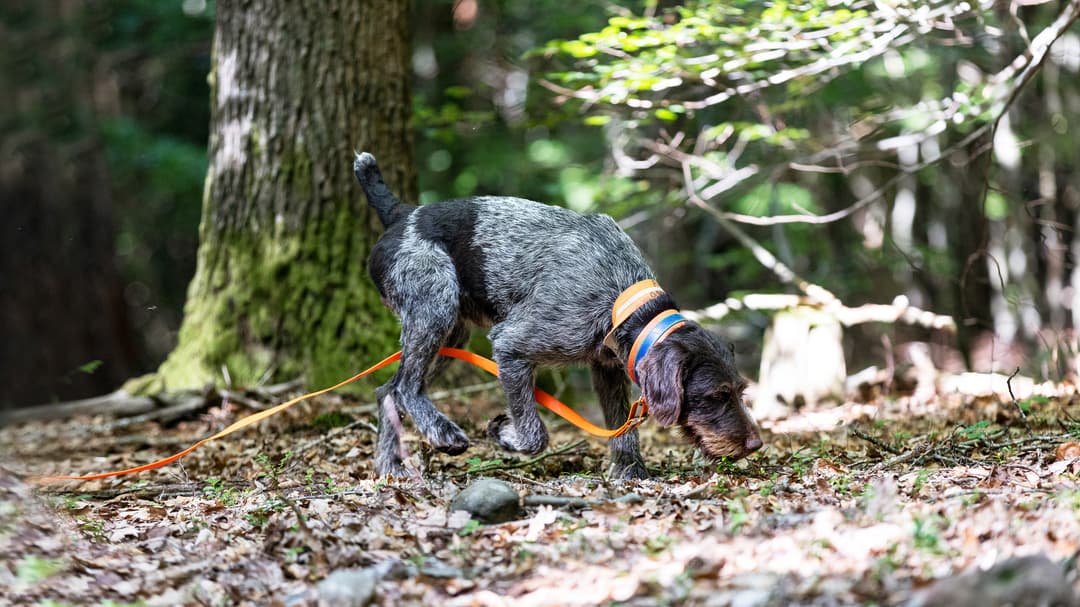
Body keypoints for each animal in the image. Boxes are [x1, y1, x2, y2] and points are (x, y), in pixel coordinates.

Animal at [352, 152, 760, 477]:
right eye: (717, 395)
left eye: (740, 390)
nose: (755, 444)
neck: (622, 298)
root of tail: (402, 214)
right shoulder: (511, 347)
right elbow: (535, 435)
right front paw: (506, 434)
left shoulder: (607, 368)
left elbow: (622, 428)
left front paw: (631, 471)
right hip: (435, 307)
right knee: (406, 387)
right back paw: (441, 432)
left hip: (452, 335)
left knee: (387, 392)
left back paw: (389, 467)